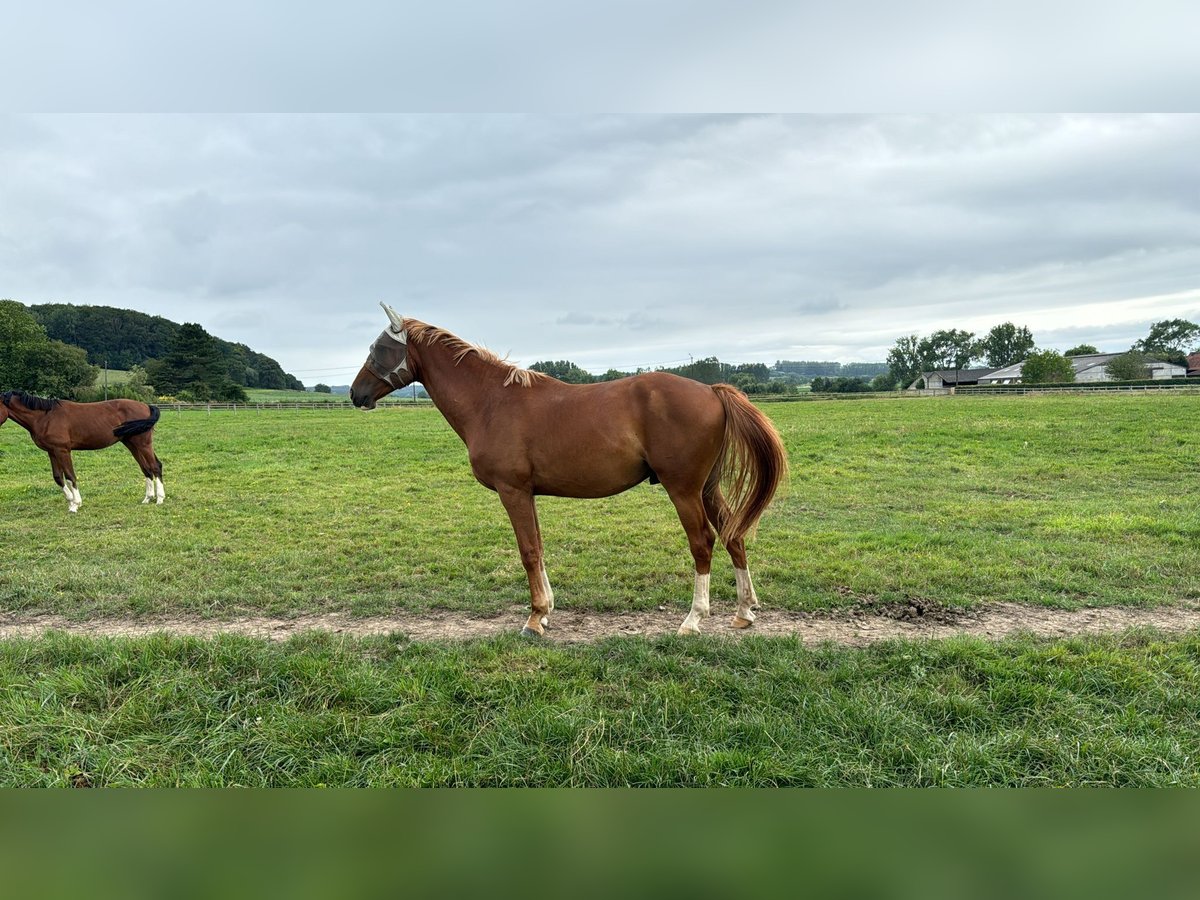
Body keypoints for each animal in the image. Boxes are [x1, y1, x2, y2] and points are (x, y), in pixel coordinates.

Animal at [0, 393, 164, 513]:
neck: (45, 417)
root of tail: (146, 406)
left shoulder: (63, 450)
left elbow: (70, 476)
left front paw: (75, 505)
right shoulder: (52, 452)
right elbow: (58, 477)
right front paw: (70, 501)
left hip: (143, 443)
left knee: (155, 466)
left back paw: (160, 499)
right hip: (131, 443)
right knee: (146, 468)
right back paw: (148, 498)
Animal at [350, 307, 787, 638]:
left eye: (380, 348)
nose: (356, 394)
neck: (491, 402)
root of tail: (711, 390)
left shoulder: (512, 491)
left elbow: (528, 552)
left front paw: (533, 619)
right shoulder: (527, 493)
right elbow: (539, 548)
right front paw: (545, 613)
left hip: (683, 489)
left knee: (703, 543)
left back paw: (693, 620)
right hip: (708, 488)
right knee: (733, 536)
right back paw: (744, 612)